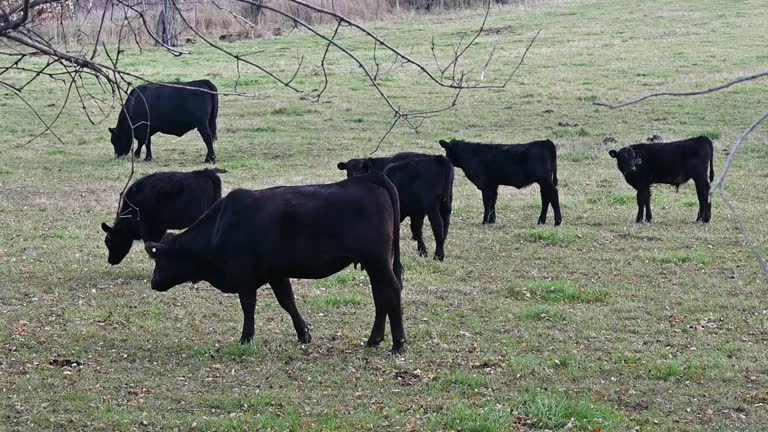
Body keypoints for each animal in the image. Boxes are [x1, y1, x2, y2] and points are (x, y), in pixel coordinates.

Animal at [145, 172, 408, 354]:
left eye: (161, 260)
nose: (153, 282)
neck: (220, 227)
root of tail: (368, 178)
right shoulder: (276, 273)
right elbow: (287, 301)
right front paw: (304, 334)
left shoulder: (244, 277)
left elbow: (248, 306)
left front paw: (246, 337)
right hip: (376, 264)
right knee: (380, 294)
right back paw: (374, 339)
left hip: (377, 261)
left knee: (391, 291)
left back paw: (398, 344)